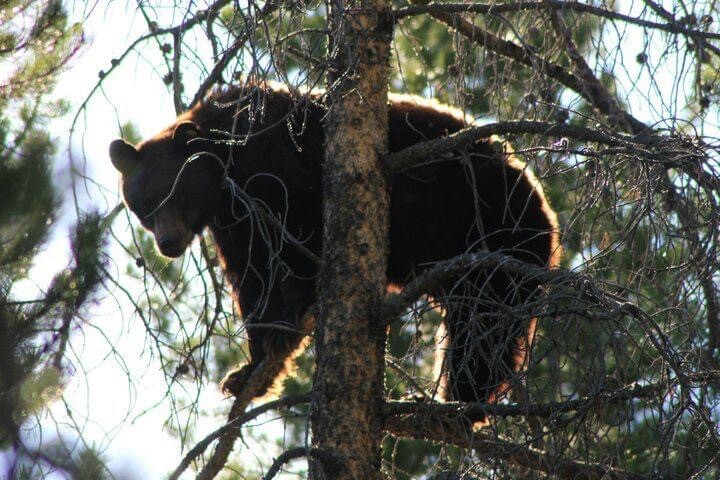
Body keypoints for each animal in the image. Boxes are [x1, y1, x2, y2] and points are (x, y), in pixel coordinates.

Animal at [109, 82, 561, 408]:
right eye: (144, 204)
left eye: (179, 194)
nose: (168, 242)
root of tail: (548, 213)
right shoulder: (236, 223)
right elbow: (254, 278)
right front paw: (247, 371)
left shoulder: (280, 170)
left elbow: (299, 245)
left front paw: (290, 321)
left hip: (492, 234)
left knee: (484, 328)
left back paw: (459, 406)